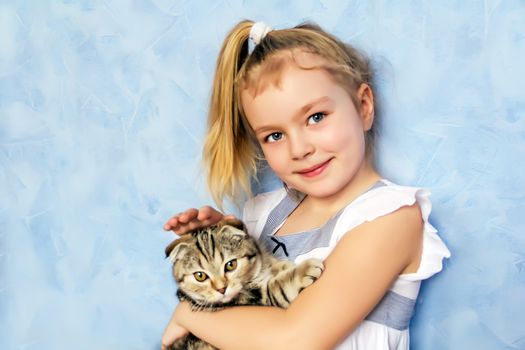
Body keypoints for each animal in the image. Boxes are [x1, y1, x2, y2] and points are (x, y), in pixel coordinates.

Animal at [165, 220, 324, 348]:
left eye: (231, 265)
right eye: (200, 276)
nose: (222, 289)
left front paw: (281, 265)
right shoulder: (259, 299)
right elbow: (277, 286)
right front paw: (303, 270)